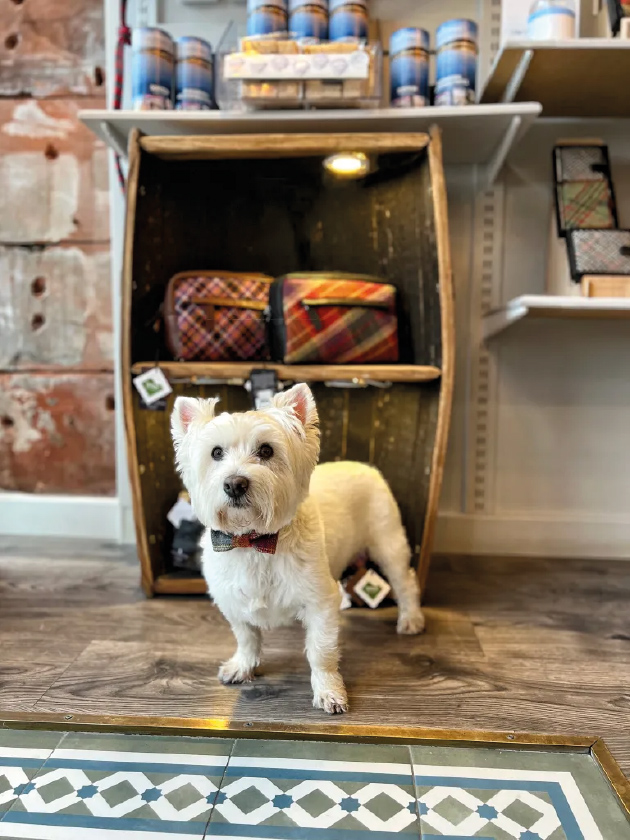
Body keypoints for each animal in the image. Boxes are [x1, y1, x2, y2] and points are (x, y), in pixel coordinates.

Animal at [172, 384, 424, 712]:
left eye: (266, 450)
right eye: (216, 453)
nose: (235, 484)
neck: (254, 541)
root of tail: (365, 466)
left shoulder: (320, 601)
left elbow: (321, 650)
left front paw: (329, 692)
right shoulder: (232, 601)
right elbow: (246, 637)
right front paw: (242, 667)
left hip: (387, 543)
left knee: (405, 582)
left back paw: (411, 619)